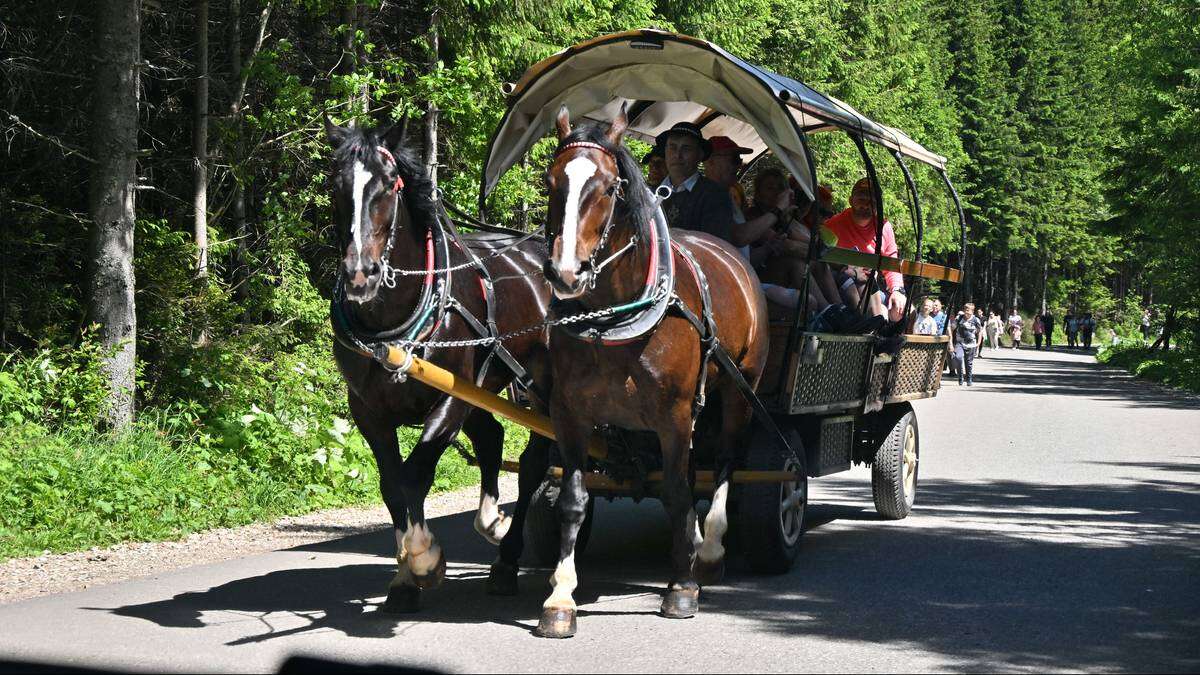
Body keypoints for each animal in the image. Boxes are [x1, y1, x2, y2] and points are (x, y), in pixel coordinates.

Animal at [326, 118, 554, 607]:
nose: (360, 275)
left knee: (532, 463)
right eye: (336, 185)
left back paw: (507, 558)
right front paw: (402, 578)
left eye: (387, 186)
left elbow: (415, 476)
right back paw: (492, 523)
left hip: (539, 390)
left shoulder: (449, 400)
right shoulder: (368, 411)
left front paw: (424, 560)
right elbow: (391, 486)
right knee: (491, 437)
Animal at [535, 106, 768, 634]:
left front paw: (681, 588)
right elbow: (572, 499)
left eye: (607, 188)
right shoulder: (569, 413)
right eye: (551, 181)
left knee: (726, 461)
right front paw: (560, 598)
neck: (614, 318)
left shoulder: (674, 415)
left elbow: (677, 493)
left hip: (740, 390)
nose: (566, 273)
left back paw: (711, 548)